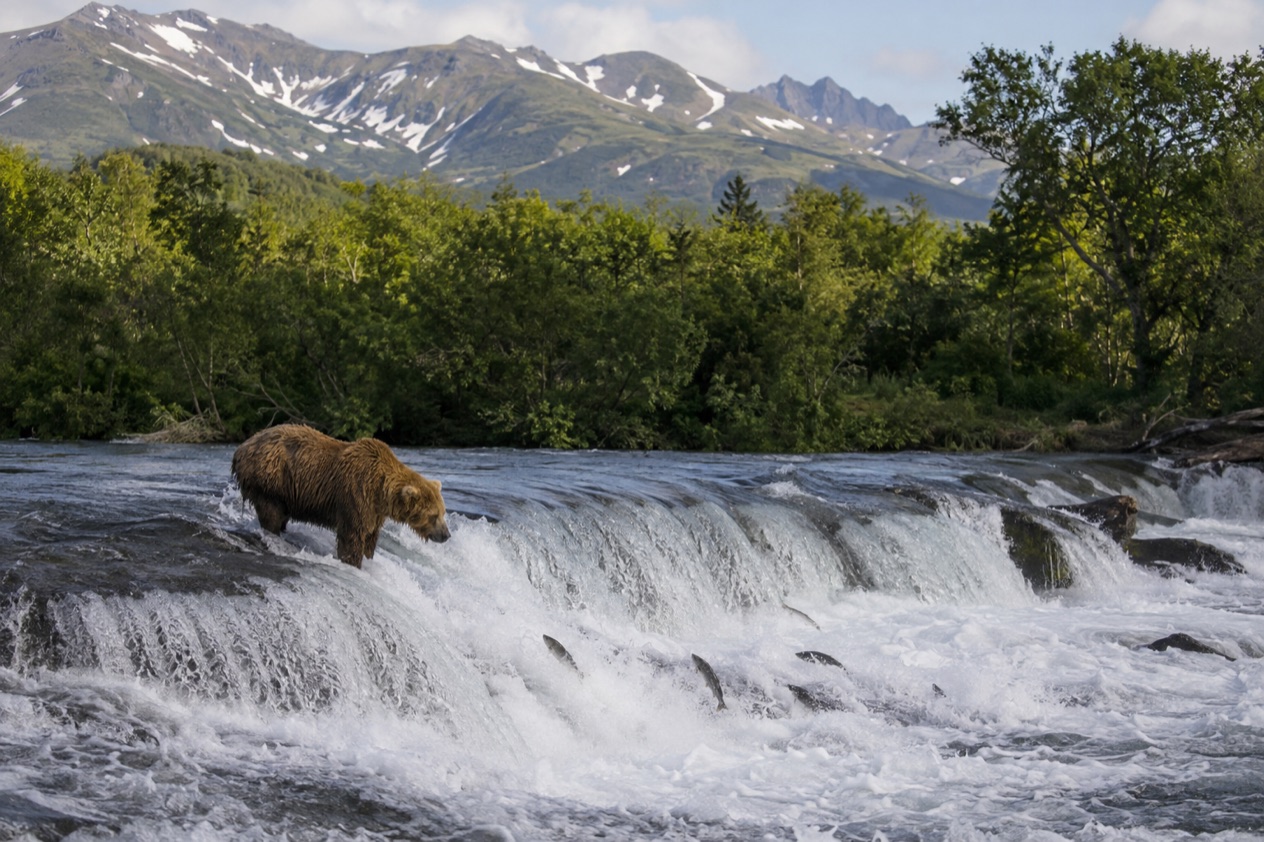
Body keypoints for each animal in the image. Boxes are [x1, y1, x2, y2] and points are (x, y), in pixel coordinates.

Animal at [231, 424, 450, 568]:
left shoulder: (376, 511)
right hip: (271, 479)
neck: (381, 491)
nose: (446, 535)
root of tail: (242, 446)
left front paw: (368, 556)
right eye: (434, 516)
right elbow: (352, 536)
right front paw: (353, 562)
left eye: (443, 512)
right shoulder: (357, 495)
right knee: (271, 515)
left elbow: (371, 537)